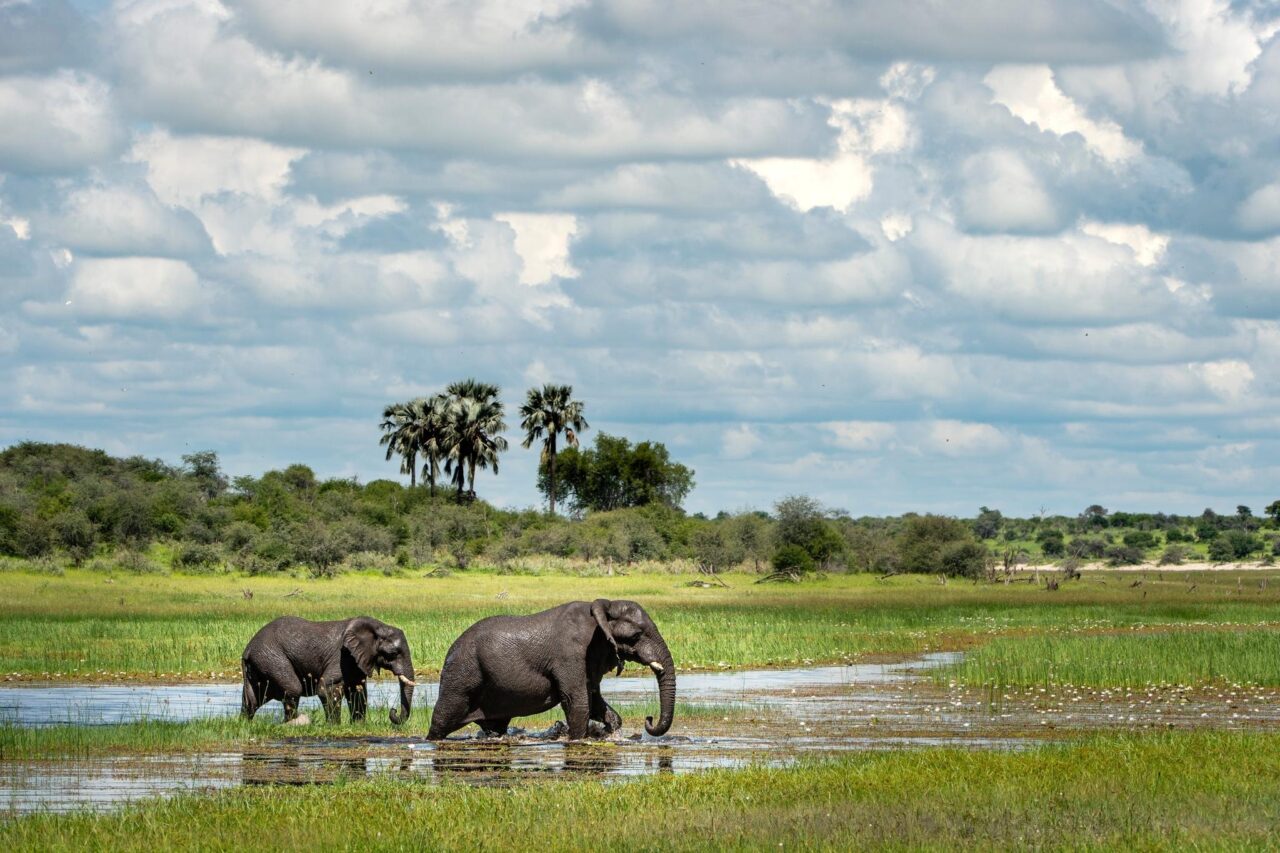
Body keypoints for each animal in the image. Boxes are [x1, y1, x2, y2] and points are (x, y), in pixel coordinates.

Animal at [240, 615, 417, 724]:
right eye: (393, 653)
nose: (393, 711)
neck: (378, 627)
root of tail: (248, 649)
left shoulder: (355, 660)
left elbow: (358, 691)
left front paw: (358, 725)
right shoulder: (342, 657)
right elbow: (328, 688)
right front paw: (334, 726)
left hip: (261, 664)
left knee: (253, 698)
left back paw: (245, 724)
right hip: (272, 658)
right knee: (293, 689)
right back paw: (290, 724)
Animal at [427, 599, 675, 741]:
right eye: (637, 635)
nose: (649, 718)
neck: (603, 607)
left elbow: (595, 702)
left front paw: (608, 733)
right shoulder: (571, 654)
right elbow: (578, 704)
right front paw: (578, 740)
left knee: (496, 726)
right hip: (461, 675)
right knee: (441, 720)